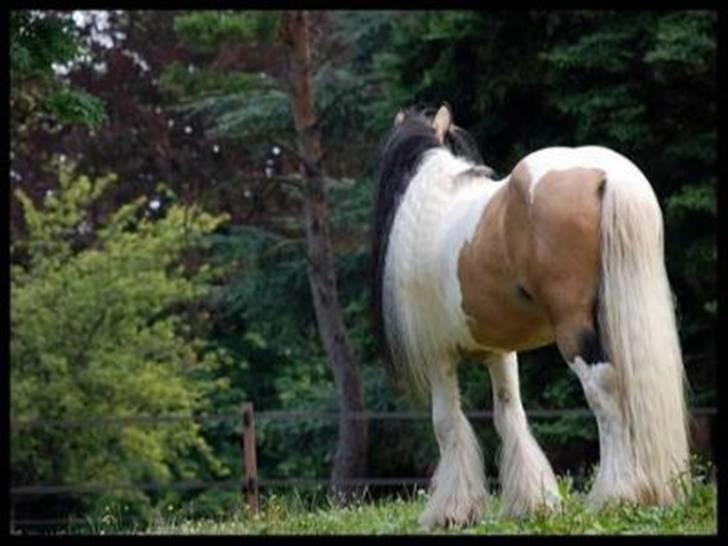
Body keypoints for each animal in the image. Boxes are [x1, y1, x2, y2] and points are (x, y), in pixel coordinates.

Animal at [372, 104, 692, 528]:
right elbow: (510, 415)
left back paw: (614, 495)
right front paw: (532, 504)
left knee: (604, 391)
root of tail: (607, 175)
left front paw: (451, 511)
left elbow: (446, 422)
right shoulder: (499, 351)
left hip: (574, 332)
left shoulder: (439, 356)